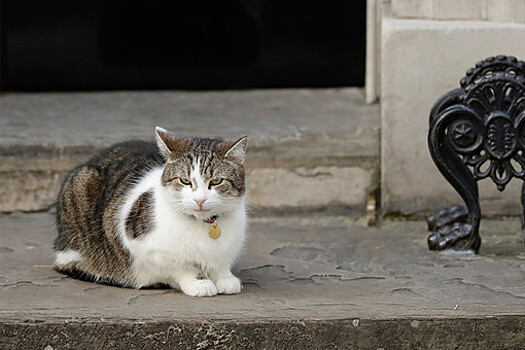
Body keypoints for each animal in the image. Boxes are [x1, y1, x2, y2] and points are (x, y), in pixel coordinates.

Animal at [52, 127, 248, 296]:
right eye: (185, 181)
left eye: (216, 181)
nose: (200, 200)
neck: (204, 225)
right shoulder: (143, 248)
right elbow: (181, 266)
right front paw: (198, 282)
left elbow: (221, 264)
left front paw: (225, 278)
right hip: (81, 186)